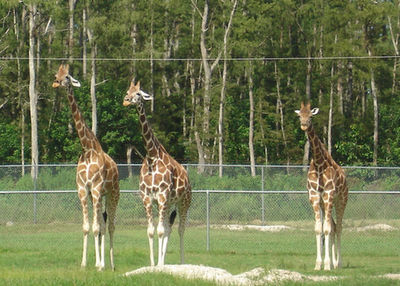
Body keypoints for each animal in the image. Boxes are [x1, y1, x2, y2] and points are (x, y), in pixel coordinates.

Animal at [50, 64, 119, 270]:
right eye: (57, 74)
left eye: (68, 76)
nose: (56, 82)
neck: (87, 149)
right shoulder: (83, 190)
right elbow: (87, 227)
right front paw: (84, 263)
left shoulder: (95, 188)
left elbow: (96, 227)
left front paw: (98, 265)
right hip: (100, 196)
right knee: (102, 224)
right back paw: (103, 262)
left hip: (112, 194)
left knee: (110, 226)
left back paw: (110, 264)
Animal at [122, 79, 191, 266]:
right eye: (128, 91)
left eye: (138, 93)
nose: (126, 101)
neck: (152, 157)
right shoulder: (148, 198)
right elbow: (152, 230)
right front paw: (153, 264)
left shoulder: (162, 195)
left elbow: (160, 231)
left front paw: (159, 264)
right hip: (167, 204)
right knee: (168, 228)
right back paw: (163, 261)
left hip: (183, 202)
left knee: (181, 229)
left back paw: (182, 262)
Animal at [296, 102, 348, 270]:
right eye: (300, 115)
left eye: (311, 116)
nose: (304, 125)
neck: (319, 163)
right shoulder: (314, 197)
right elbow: (319, 229)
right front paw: (319, 264)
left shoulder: (329, 194)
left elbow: (326, 229)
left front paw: (326, 264)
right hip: (326, 204)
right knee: (333, 226)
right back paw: (333, 262)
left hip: (340, 200)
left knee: (338, 227)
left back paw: (338, 263)